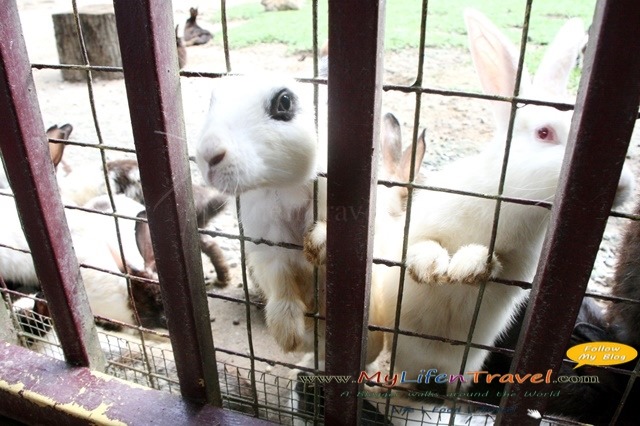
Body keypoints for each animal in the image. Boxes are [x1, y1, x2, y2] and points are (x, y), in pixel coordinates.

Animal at [376, 8, 636, 392]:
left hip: (467, 363)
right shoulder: (419, 226)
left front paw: (468, 265)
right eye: (544, 132)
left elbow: (495, 267)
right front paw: (433, 266)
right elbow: (423, 245)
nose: (624, 187)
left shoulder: (517, 269)